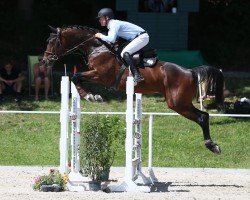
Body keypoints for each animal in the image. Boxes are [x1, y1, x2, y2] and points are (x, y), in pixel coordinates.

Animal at [42, 25, 221, 155]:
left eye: (52, 42)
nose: (44, 61)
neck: (97, 48)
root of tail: (190, 71)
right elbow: (76, 77)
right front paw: (91, 96)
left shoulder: (100, 76)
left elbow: (75, 76)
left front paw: (91, 96)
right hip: (180, 103)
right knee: (204, 115)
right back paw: (212, 145)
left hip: (177, 103)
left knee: (202, 117)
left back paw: (212, 145)